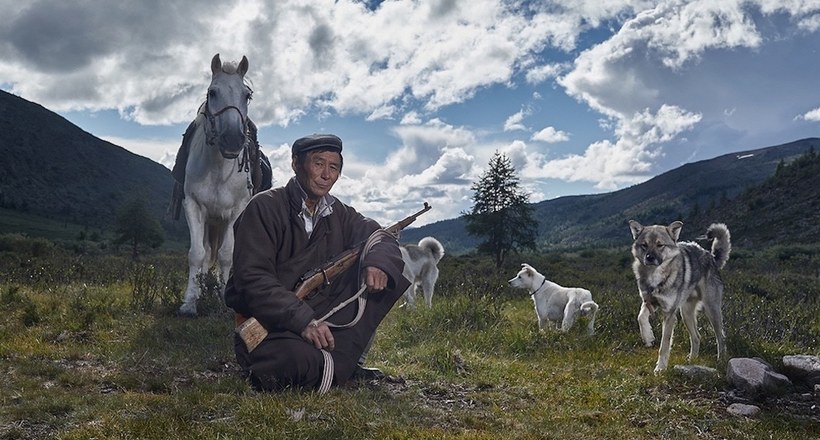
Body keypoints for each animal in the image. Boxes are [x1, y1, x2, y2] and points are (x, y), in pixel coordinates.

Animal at [178, 54, 255, 316]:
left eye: (247, 95)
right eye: (212, 92)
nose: (232, 139)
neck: (219, 169)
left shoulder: (237, 212)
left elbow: (226, 255)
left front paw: (225, 300)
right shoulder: (193, 206)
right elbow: (196, 254)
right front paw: (190, 301)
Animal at [628, 219, 732, 372]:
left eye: (660, 245)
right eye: (644, 245)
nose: (650, 258)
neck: (655, 276)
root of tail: (712, 257)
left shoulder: (669, 314)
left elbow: (664, 346)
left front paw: (660, 368)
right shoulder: (649, 302)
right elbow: (640, 318)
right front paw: (648, 337)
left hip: (711, 310)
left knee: (721, 337)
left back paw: (721, 360)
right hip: (686, 313)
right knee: (697, 337)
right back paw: (691, 360)